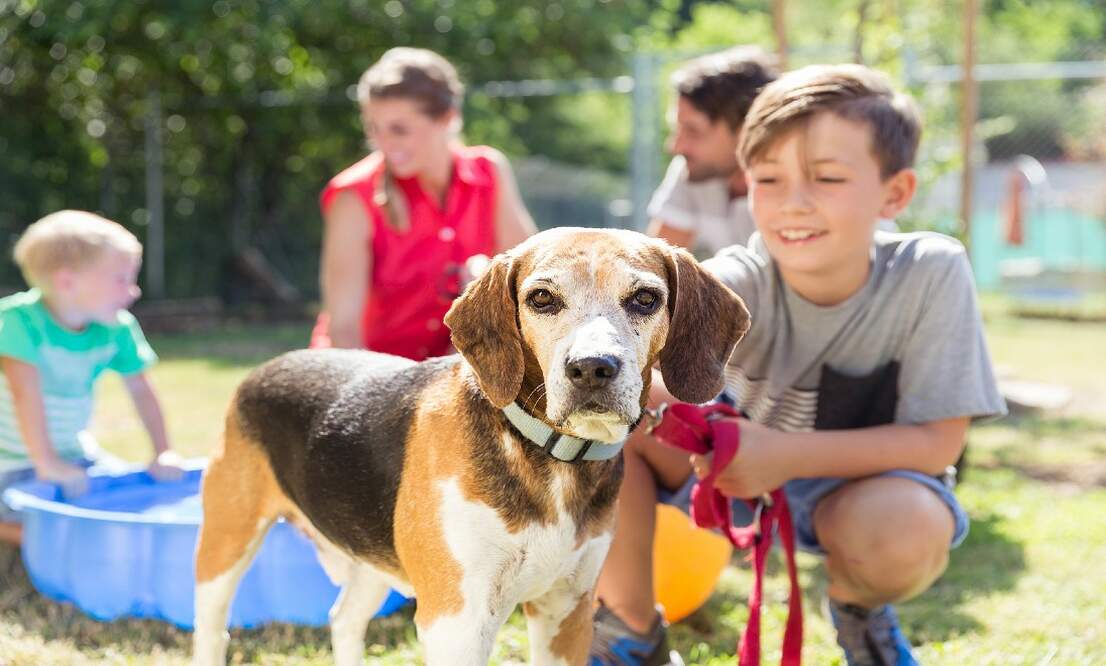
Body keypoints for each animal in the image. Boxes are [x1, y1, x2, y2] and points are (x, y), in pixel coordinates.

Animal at [194, 225, 752, 659]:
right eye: (542, 297)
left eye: (645, 299)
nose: (592, 368)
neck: (550, 456)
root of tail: (262, 370)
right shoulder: (457, 622)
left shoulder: (566, 613)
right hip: (223, 550)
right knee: (214, 633)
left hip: (370, 557)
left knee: (344, 620)